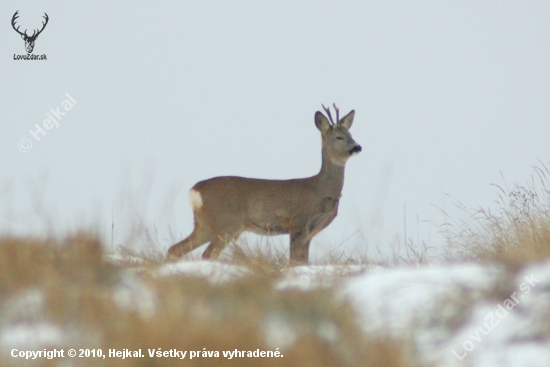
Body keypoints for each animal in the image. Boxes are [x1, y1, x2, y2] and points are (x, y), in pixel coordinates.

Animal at [170, 105, 364, 264]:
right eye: (339, 137)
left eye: (351, 135)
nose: (358, 147)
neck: (320, 190)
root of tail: (195, 190)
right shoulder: (298, 223)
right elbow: (294, 262)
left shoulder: (309, 232)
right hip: (227, 222)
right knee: (207, 254)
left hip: (204, 224)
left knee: (175, 249)